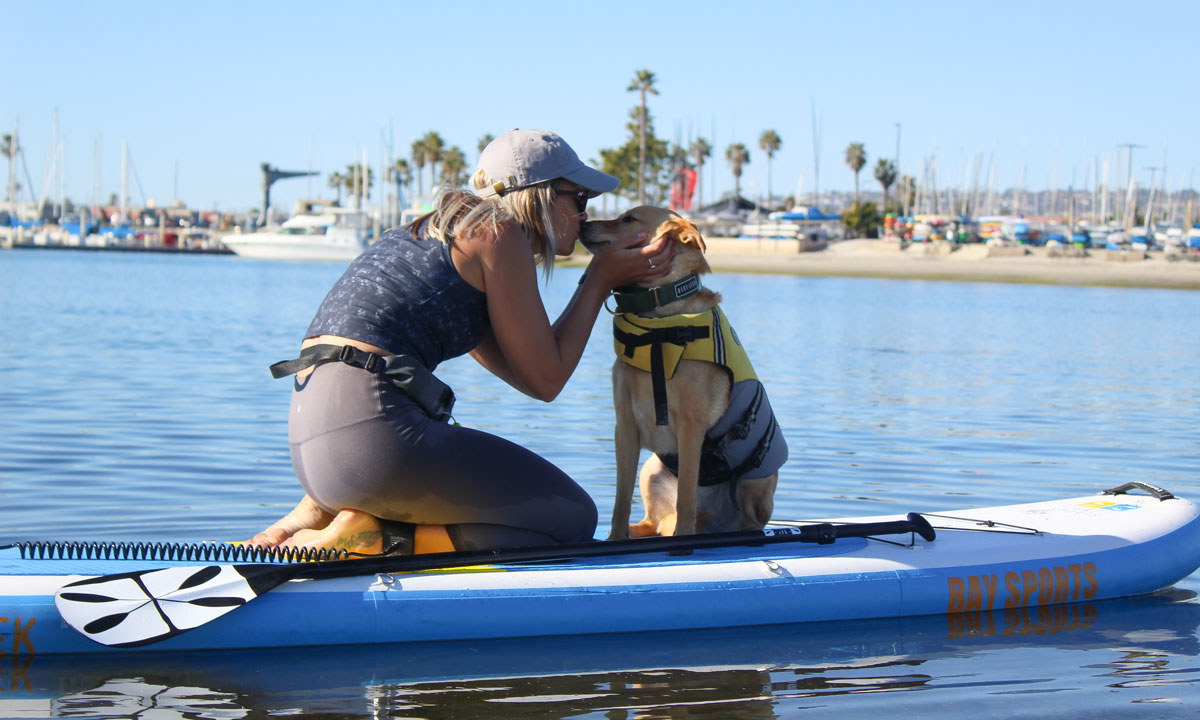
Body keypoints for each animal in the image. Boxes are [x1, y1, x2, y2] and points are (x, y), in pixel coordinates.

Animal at [580, 205, 787, 537]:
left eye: (629, 219)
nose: (583, 224)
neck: (657, 321)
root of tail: (717, 523)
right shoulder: (624, 425)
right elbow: (620, 502)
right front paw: (616, 538)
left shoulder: (691, 427)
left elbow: (686, 499)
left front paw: (683, 541)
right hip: (651, 468)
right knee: (652, 522)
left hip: (757, 478)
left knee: (749, 522)